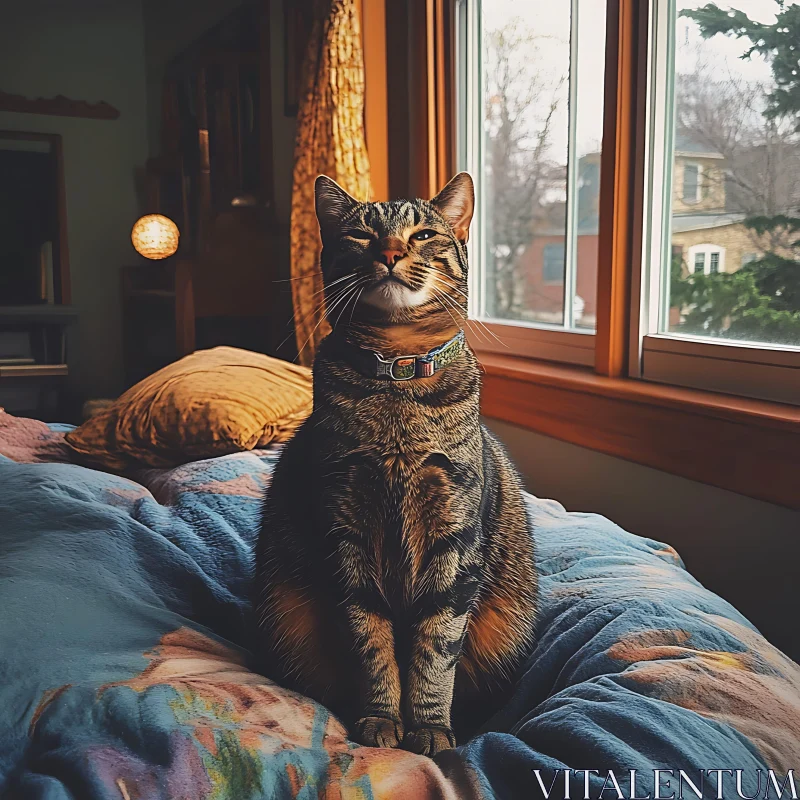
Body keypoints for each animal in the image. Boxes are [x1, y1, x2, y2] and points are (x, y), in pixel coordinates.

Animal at [253, 173, 536, 756]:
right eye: (361, 234)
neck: (396, 375)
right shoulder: (346, 532)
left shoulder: (454, 537)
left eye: (423, 233)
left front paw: (428, 728)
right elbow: (371, 643)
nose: (388, 252)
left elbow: (436, 647)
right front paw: (382, 720)